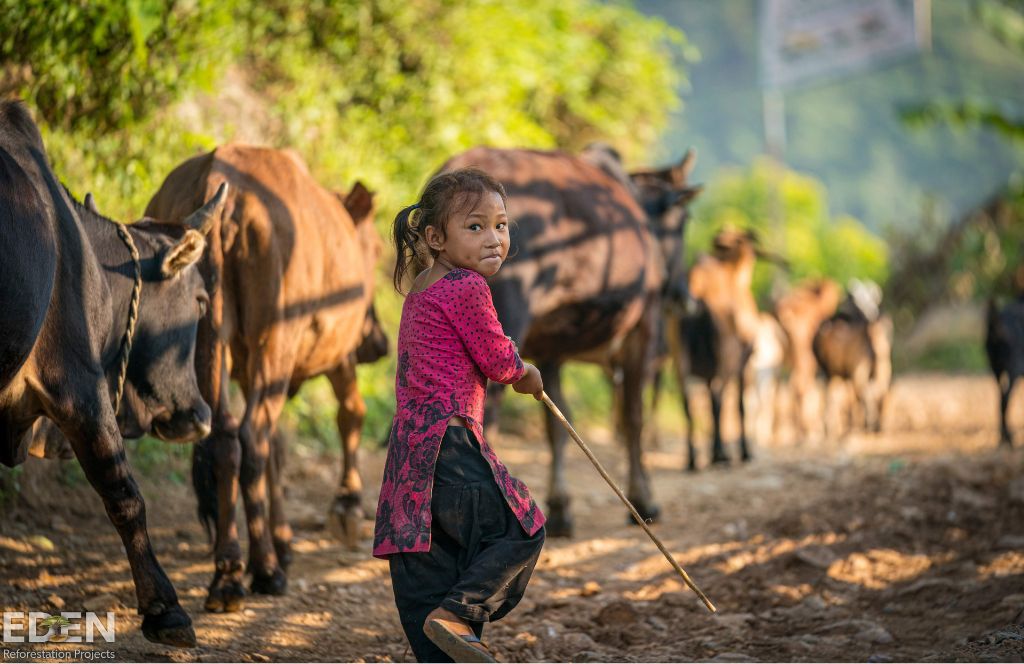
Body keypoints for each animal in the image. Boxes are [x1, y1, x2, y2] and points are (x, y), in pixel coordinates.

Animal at [143, 143, 385, 610]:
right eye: (380, 250)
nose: (379, 343)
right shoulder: (338, 351)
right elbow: (351, 412)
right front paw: (346, 505)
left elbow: (277, 449)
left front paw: (283, 539)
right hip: (277, 338)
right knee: (252, 436)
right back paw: (265, 569)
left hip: (207, 336)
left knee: (226, 438)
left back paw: (230, 572)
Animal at [436, 146, 700, 541]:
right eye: (683, 221)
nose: (683, 296)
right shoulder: (644, 326)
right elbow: (633, 417)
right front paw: (644, 499)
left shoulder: (549, 347)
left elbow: (557, 424)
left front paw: (561, 507)